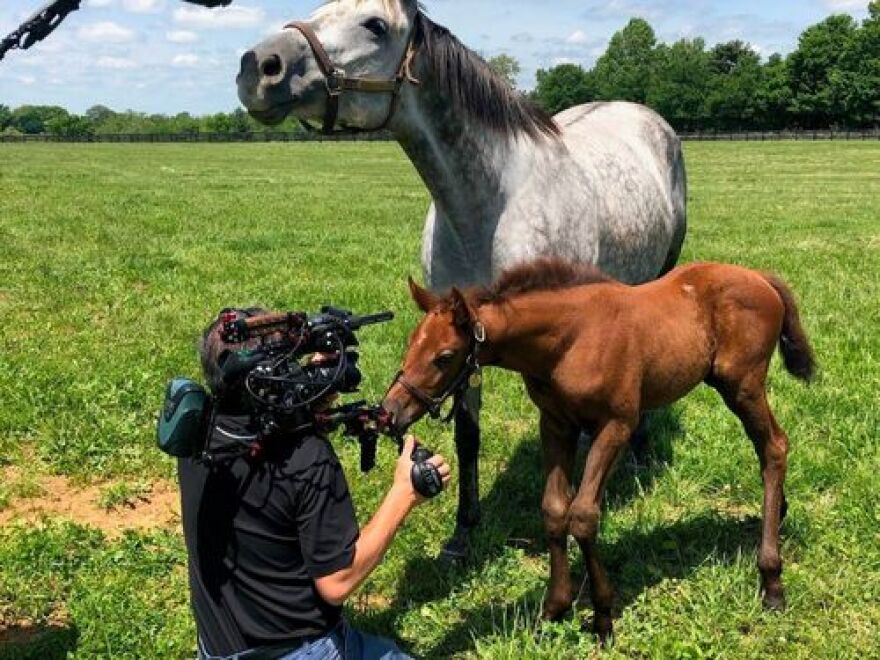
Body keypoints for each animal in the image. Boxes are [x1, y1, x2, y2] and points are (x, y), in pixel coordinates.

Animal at [236, 0, 688, 560]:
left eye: (375, 25)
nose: (258, 67)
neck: (490, 209)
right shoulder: (460, 334)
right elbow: (468, 437)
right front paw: (464, 531)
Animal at [381, 257, 815, 639]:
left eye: (444, 356)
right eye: (411, 342)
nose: (389, 413)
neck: (570, 340)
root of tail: (760, 277)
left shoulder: (615, 426)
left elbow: (584, 515)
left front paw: (603, 616)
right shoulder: (556, 425)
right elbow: (554, 510)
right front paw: (554, 608)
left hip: (742, 385)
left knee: (775, 447)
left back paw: (772, 581)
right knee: (769, 448)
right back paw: (778, 515)